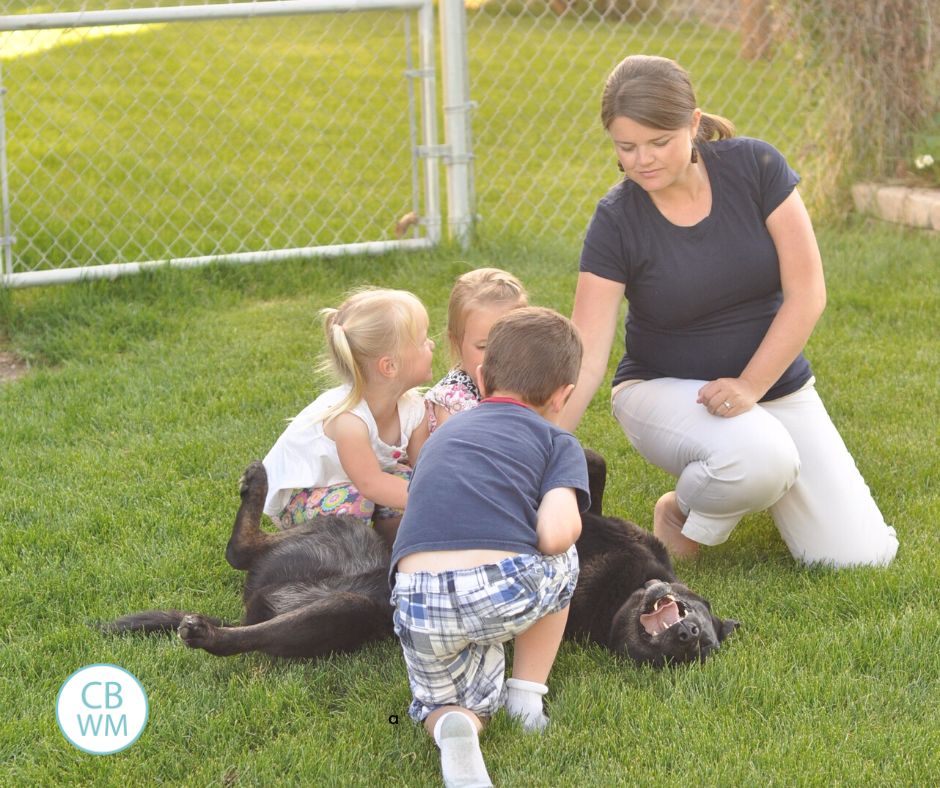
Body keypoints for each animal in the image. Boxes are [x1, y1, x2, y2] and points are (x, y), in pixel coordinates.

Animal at [106, 450, 740, 664]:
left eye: (700, 651)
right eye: (699, 624)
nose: (688, 636)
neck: (623, 593)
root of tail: (256, 602)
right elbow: (593, 467)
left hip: (337, 615)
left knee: (246, 613)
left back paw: (207, 634)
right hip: (342, 528)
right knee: (245, 549)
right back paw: (256, 487)